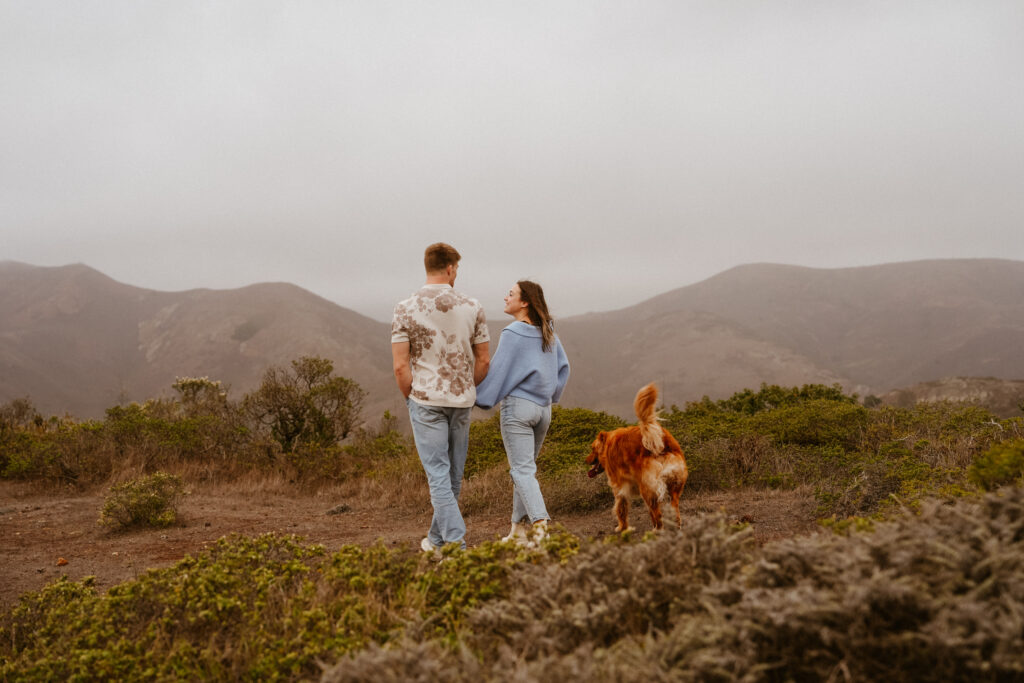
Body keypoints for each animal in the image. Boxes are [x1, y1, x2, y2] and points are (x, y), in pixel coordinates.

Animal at [585, 382, 688, 532]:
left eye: (593, 449)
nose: (585, 460)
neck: (608, 444)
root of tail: (659, 444)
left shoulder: (618, 486)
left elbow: (621, 509)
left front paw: (622, 527)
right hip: (673, 485)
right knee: (674, 509)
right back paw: (675, 527)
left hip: (647, 488)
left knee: (657, 512)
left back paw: (657, 530)